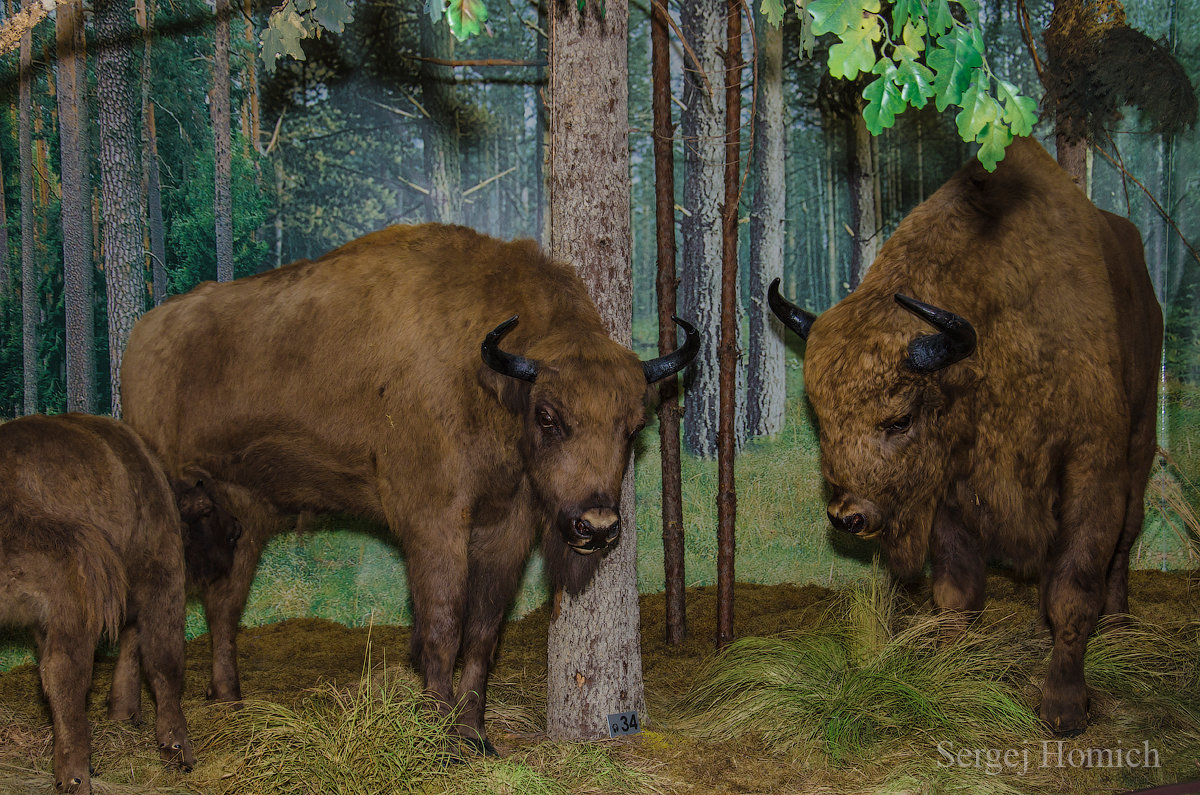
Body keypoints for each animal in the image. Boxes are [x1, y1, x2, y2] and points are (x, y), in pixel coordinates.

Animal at [0, 413, 237, 792]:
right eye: (212, 513)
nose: (237, 530)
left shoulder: (47, 621)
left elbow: (131, 647)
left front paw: (122, 713)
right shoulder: (164, 580)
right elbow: (164, 661)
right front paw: (177, 749)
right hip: (76, 579)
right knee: (64, 674)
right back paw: (75, 776)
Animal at [117, 222, 700, 754]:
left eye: (633, 426)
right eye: (549, 416)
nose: (596, 527)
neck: (492, 381)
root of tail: (142, 336)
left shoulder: (506, 530)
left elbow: (482, 633)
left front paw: (475, 735)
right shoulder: (434, 524)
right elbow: (442, 627)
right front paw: (439, 736)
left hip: (243, 518)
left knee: (222, 606)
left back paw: (216, 701)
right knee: (150, 609)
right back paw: (146, 722)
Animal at [768, 135, 1161, 734]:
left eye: (900, 419)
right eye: (820, 416)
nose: (847, 517)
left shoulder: (1090, 468)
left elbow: (1073, 588)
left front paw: (1065, 707)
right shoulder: (949, 489)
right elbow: (956, 591)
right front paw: (950, 670)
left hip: (1140, 444)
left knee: (1125, 538)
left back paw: (1117, 624)